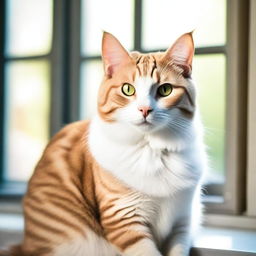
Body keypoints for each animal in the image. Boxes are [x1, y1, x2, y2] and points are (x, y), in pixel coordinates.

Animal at [0, 32, 206, 256]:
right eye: (128, 89)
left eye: (165, 90)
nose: (145, 109)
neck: (152, 149)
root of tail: (25, 244)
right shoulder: (124, 220)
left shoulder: (182, 224)